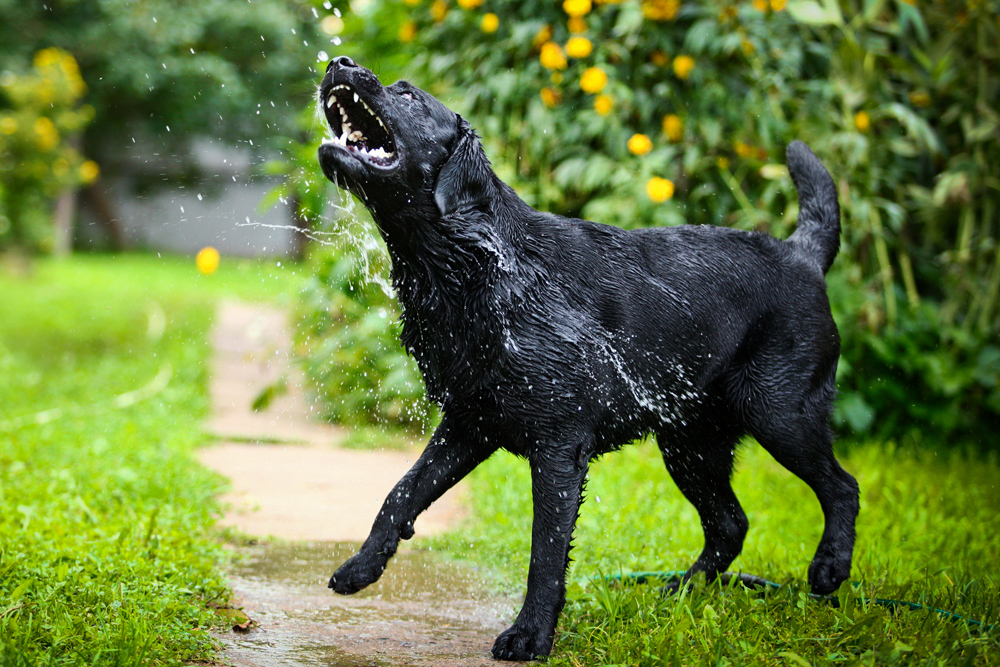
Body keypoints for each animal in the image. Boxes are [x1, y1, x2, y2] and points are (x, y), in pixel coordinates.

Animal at [318, 57, 860, 664]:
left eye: (408, 94)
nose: (339, 62)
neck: (479, 267)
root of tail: (803, 254)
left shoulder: (559, 446)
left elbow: (546, 552)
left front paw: (530, 635)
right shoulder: (469, 423)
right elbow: (401, 492)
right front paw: (360, 566)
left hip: (779, 412)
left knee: (842, 487)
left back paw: (828, 568)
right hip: (689, 444)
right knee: (730, 523)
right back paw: (682, 591)